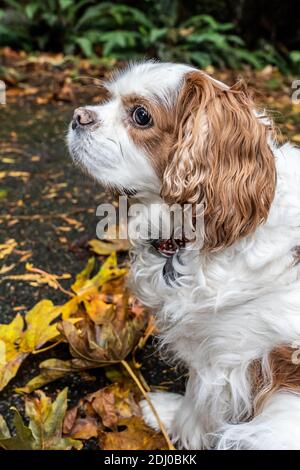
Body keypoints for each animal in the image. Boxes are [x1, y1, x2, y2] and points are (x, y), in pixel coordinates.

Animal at [67, 60, 300, 450]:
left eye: (141, 115)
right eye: (109, 98)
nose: (77, 116)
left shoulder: (225, 358)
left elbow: (198, 397)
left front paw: (172, 418)